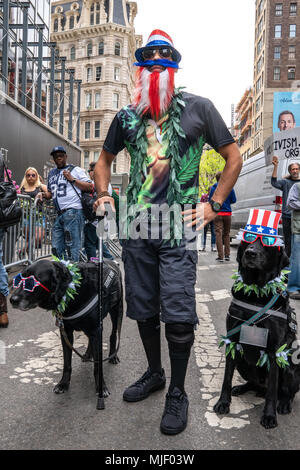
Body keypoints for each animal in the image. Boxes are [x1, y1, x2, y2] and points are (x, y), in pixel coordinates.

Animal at [10, 258, 123, 398]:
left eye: (32, 282)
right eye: (19, 279)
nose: (12, 300)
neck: (73, 291)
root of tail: (111, 261)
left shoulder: (96, 330)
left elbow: (98, 366)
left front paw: (101, 388)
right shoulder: (66, 332)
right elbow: (67, 363)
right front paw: (63, 384)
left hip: (117, 311)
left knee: (113, 334)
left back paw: (113, 356)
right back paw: (88, 354)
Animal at [213, 237, 300, 428]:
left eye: (267, 242)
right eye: (248, 238)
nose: (250, 253)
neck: (256, 294)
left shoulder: (274, 351)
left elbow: (272, 392)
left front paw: (269, 416)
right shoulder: (232, 341)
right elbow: (226, 378)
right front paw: (223, 402)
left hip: (289, 367)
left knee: (286, 393)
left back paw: (283, 404)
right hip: (241, 361)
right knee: (253, 384)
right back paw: (241, 388)